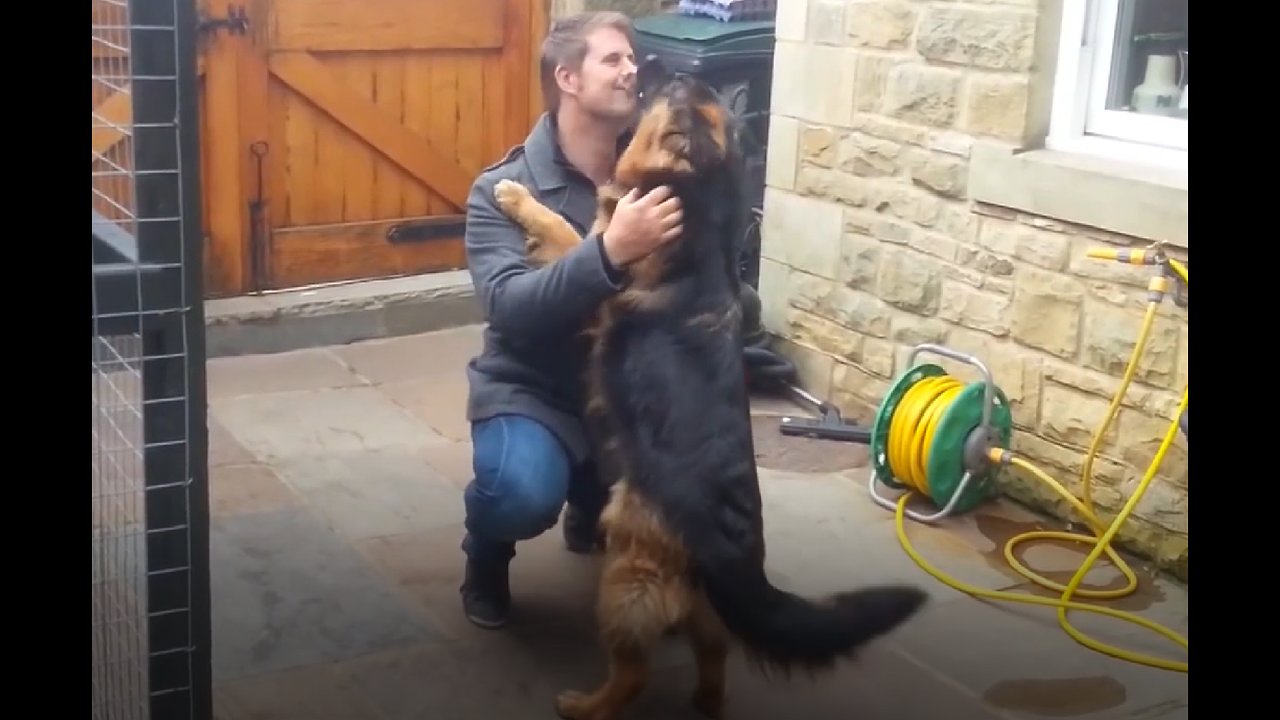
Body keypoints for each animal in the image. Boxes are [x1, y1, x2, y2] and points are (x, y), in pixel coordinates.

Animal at [491, 65, 931, 717]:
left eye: (669, 95)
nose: (664, 69)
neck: (698, 198)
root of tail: (735, 560)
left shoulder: (599, 270)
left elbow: (565, 231)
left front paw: (517, 199)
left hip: (627, 579)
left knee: (635, 672)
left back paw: (586, 704)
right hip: (695, 608)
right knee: (716, 653)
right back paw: (704, 700)